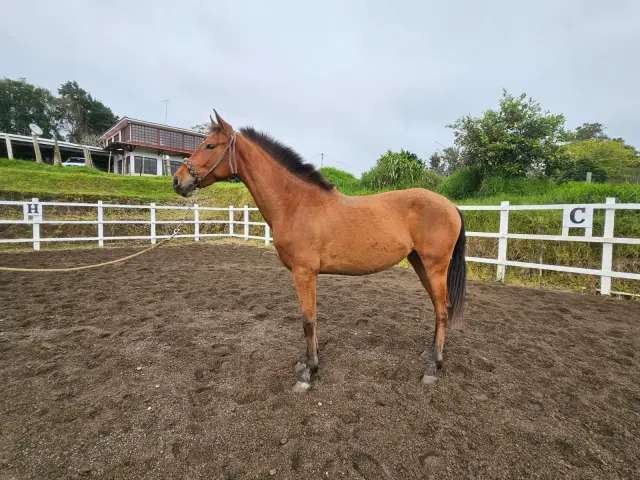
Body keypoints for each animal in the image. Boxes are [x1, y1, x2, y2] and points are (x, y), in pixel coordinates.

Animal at [173, 110, 467, 393]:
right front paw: (307, 362)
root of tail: (450, 206)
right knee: (438, 307)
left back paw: (433, 368)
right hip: (420, 264)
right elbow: (311, 320)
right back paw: (429, 353)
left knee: (443, 309)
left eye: (210, 145)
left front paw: (308, 373)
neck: (296, 204)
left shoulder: (304, 273)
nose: (178, 181)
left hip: (435, 266)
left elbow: (308, 320)